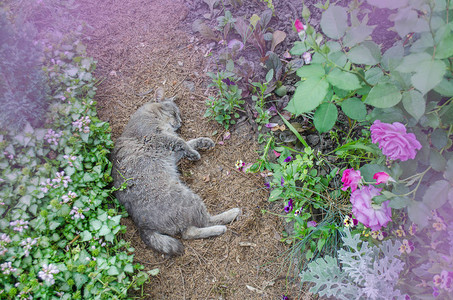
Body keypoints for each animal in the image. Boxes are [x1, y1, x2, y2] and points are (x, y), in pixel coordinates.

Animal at [111, 91, 240, 255]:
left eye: (179, 115)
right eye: (174, 113)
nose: (180, 122)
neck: (150, 114)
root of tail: (142, 225)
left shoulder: (172, 152)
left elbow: (189, 142)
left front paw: (202, 142)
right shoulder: (157, 137)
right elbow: (181, 142)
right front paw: (193, 152)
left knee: (189, 232)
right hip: (188, 198)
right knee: (203, 223)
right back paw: (228, 218)